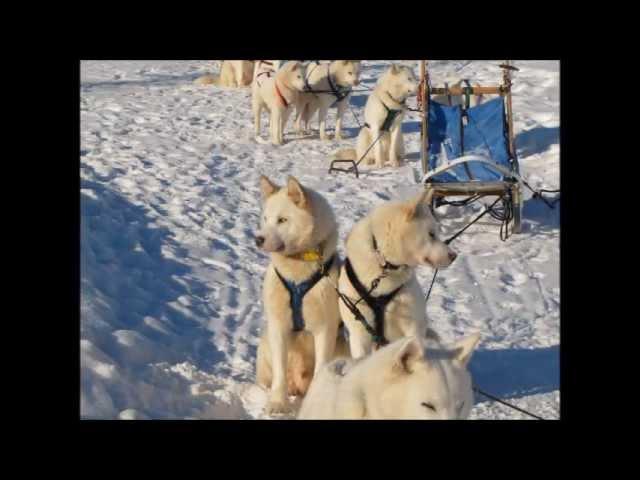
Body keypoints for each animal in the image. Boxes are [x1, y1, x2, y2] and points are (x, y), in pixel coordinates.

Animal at [255, 174, 344, 414]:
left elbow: (321, 367)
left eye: (282, 220)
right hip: (265, 343)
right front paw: (277, 403)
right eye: (265, 218)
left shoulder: (325, 329)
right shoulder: (278, 327)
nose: (258, 239)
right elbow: (279, 373)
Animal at [338, 189, 458, 358]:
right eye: (431, 234)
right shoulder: (359, 332)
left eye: (436, 233)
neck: (385, 265)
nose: (454, 256)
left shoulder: (412, 326)